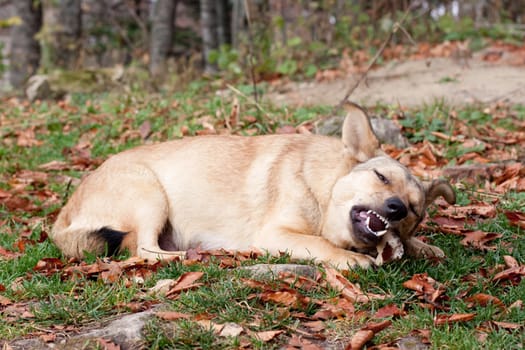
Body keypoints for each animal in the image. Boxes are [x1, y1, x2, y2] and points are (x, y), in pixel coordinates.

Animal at [52, 102, 454, 270]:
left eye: (414, 210)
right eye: (381, 177)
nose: (396, 209)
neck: (322, 189)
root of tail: (62, 218)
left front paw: (422, 246)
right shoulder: (278, 234)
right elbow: (321, 245)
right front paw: (352, 258)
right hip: (150, 194)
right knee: (144, 250)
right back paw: (194, 255)